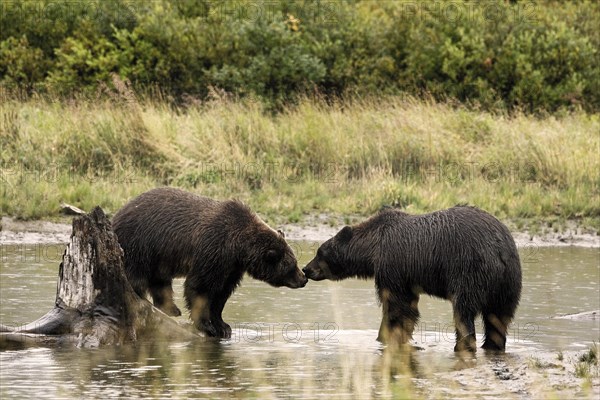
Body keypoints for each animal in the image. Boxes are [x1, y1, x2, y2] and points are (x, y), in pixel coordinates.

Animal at [112, 188, 308, 338]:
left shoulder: (231, 267)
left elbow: (221, 294)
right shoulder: (213, 250)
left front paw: (223, 325)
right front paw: (208, 326)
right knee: (136, 276)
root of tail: (116, 215)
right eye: (291, 265)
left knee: (159, 281)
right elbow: (200, 287)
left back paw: (171, 308)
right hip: (139, 244)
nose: (303, 278)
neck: (238, 248)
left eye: (294, 261)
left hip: (158, 256)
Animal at [302, 205, 524, 352]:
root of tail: (500, 249)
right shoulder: (406, 277)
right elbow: (408, 306)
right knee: (498, 318)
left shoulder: (393, 266)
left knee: (464, 311)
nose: (306, 269)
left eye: (320, 252)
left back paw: (462, 345)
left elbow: (396, 306)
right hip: (508, 284)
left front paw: (385, 336)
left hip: (470, 271)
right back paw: (492, 346)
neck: (373, 251)